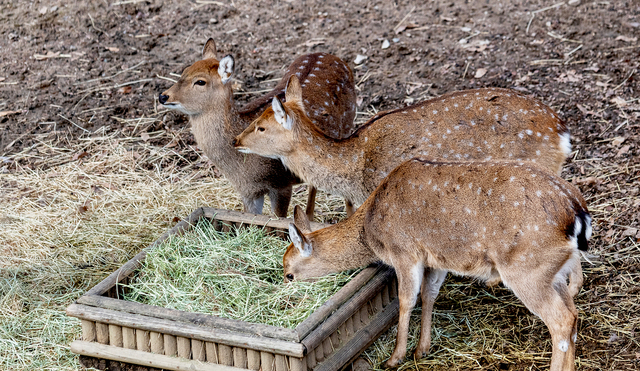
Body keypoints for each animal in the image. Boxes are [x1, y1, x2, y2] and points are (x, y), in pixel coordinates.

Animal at [158, 39, 358, 218]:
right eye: (184, 71)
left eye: (200, 81)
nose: (163, 96)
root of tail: (336, 57)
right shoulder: (248, 191)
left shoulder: (281, 183)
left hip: (348, 125)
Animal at [284, 158, 592, 370]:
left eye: (288, 273)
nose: (285, 284)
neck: (371, 230)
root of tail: (578, 214)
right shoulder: (437, 259)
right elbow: (429, 294)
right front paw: (422, 350)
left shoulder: (404, 252)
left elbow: (406, 300)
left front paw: (395, 358)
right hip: (553, 271)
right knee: (573, 314)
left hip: (527, 270)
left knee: (561, 320)